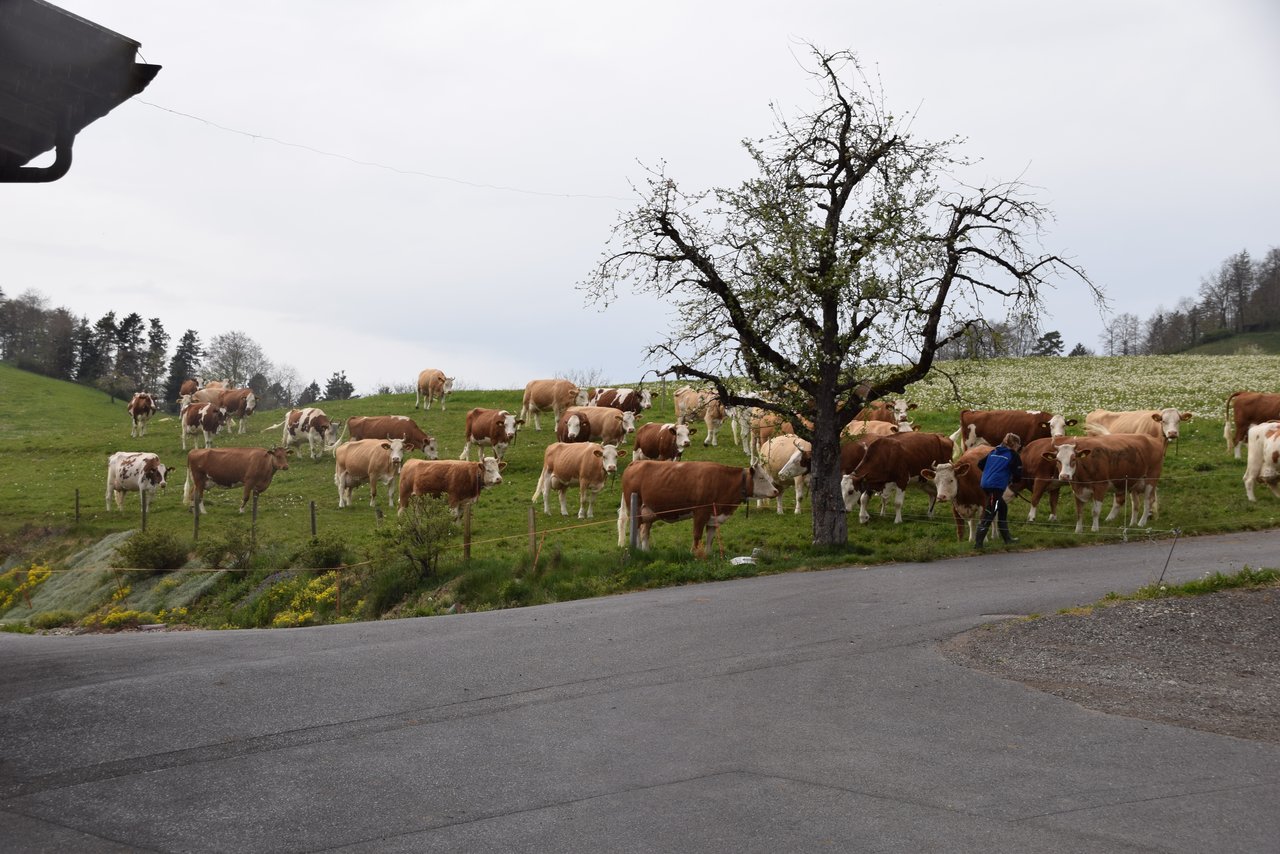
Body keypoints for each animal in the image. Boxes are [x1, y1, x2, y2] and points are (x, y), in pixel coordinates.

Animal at [614, 460, 773, 560]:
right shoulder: (700, 512)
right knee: (637, 530)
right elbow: (697, 535)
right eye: (762, 478)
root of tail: (635, 463)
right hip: (636, 509)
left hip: (650, 512)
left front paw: (708, 554)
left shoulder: (713, 516)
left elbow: (710, 537)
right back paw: (637, 550)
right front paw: (693, 554)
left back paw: (646, 551)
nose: (776, 491)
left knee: (644, 532)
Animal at [1034, 437, 1167, 530]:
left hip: (1151, 480)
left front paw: (1094, 529)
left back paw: (1141, 523)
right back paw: (1132, 523)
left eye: (1073, 459)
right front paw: (1078, 530)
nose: (1064, 476)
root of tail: (1153, 440)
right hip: (1133, 483)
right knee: (1136, 503)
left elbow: (1095, 511)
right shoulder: (1077, 489)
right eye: (1057, 460)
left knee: (1147, 501)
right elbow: (1079, 512)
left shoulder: (1100, 487)